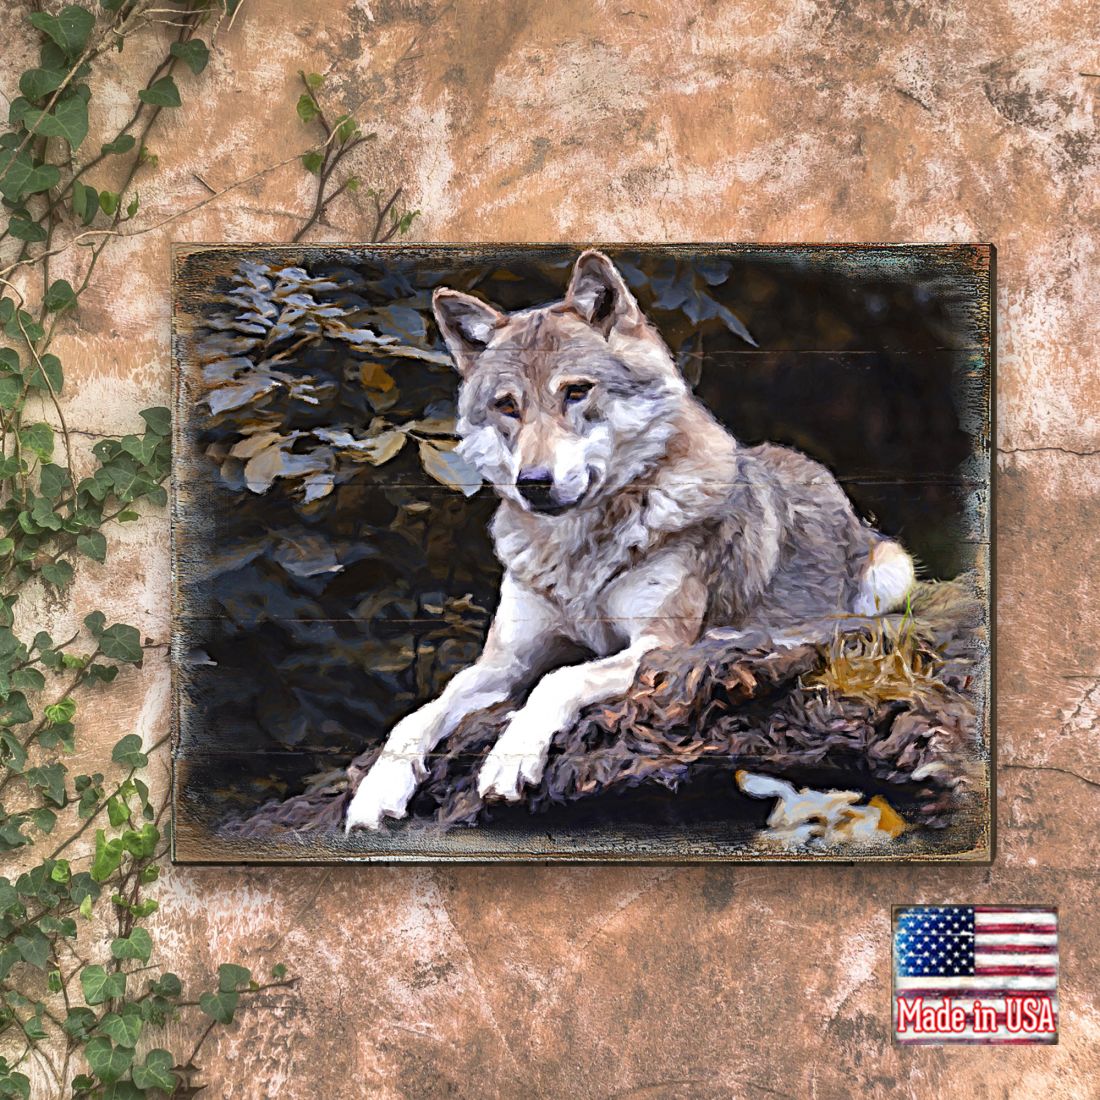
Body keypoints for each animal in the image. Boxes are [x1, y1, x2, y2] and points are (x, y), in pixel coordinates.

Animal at [344, 250, 915, 831]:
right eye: (508, 406)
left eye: (576, 391)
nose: (533, 482)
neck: (578, 553)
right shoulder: (504, 663)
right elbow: (420, 714)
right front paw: (374, 793)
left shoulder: (655, 644)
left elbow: (560, 678)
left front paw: (509, 760)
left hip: (892, 572)